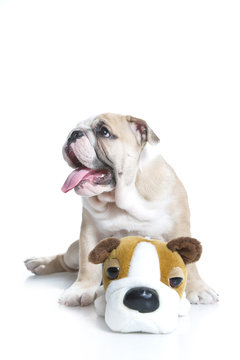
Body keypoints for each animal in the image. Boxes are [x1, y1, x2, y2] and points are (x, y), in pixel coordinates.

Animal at [24, 114, 218, 306]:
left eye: (104, 132)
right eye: (75, 128)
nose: (74, 133)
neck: (122, 199)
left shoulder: (178, 228)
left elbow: (190, 265)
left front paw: (199, 289)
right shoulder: (89, 232)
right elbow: (87, 265)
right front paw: (81, 289)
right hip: (73, 252)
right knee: (64, 260)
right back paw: (39, 263)